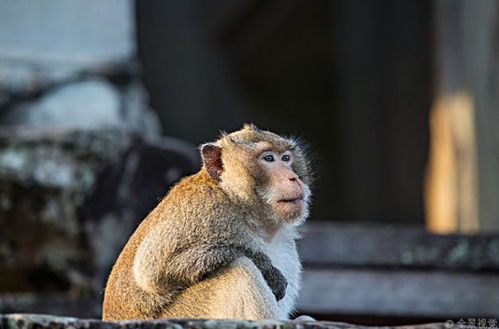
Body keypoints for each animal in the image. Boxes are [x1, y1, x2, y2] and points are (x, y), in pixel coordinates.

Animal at [101, 123, 312, 320]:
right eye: (269, 158)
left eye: (286, 158)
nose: (293, 178)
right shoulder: (204, 210)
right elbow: (150, 271)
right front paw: (266, 267)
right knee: (239, 268)